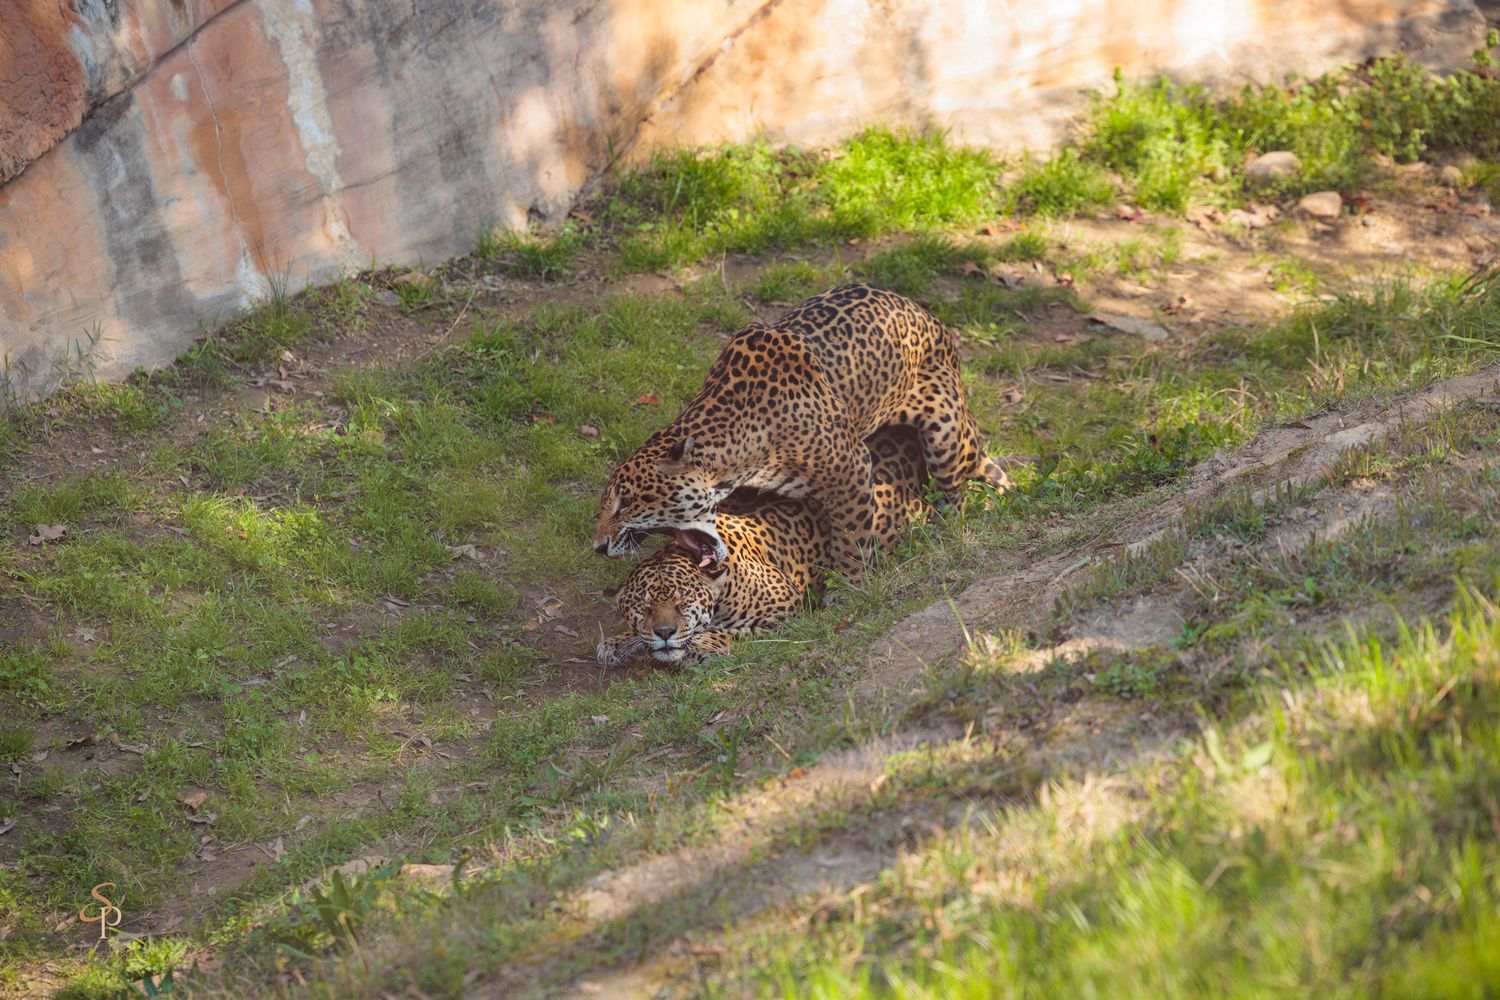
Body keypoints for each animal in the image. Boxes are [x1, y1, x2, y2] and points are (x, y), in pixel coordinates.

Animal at [592, 283, 1008, 582]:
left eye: (625, 503)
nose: (598, 546)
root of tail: (928, 314)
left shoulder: (852, 469)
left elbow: (852, 538)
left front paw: (849, 589)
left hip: (946, 433)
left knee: (956, 496)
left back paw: (945, 536)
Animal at [596, 426, 933, 667]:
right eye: (644, 607)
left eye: (682, 603)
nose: (664, 633)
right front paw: (618, 642)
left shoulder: (784, 609)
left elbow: (730, 631)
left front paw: (701, 644)